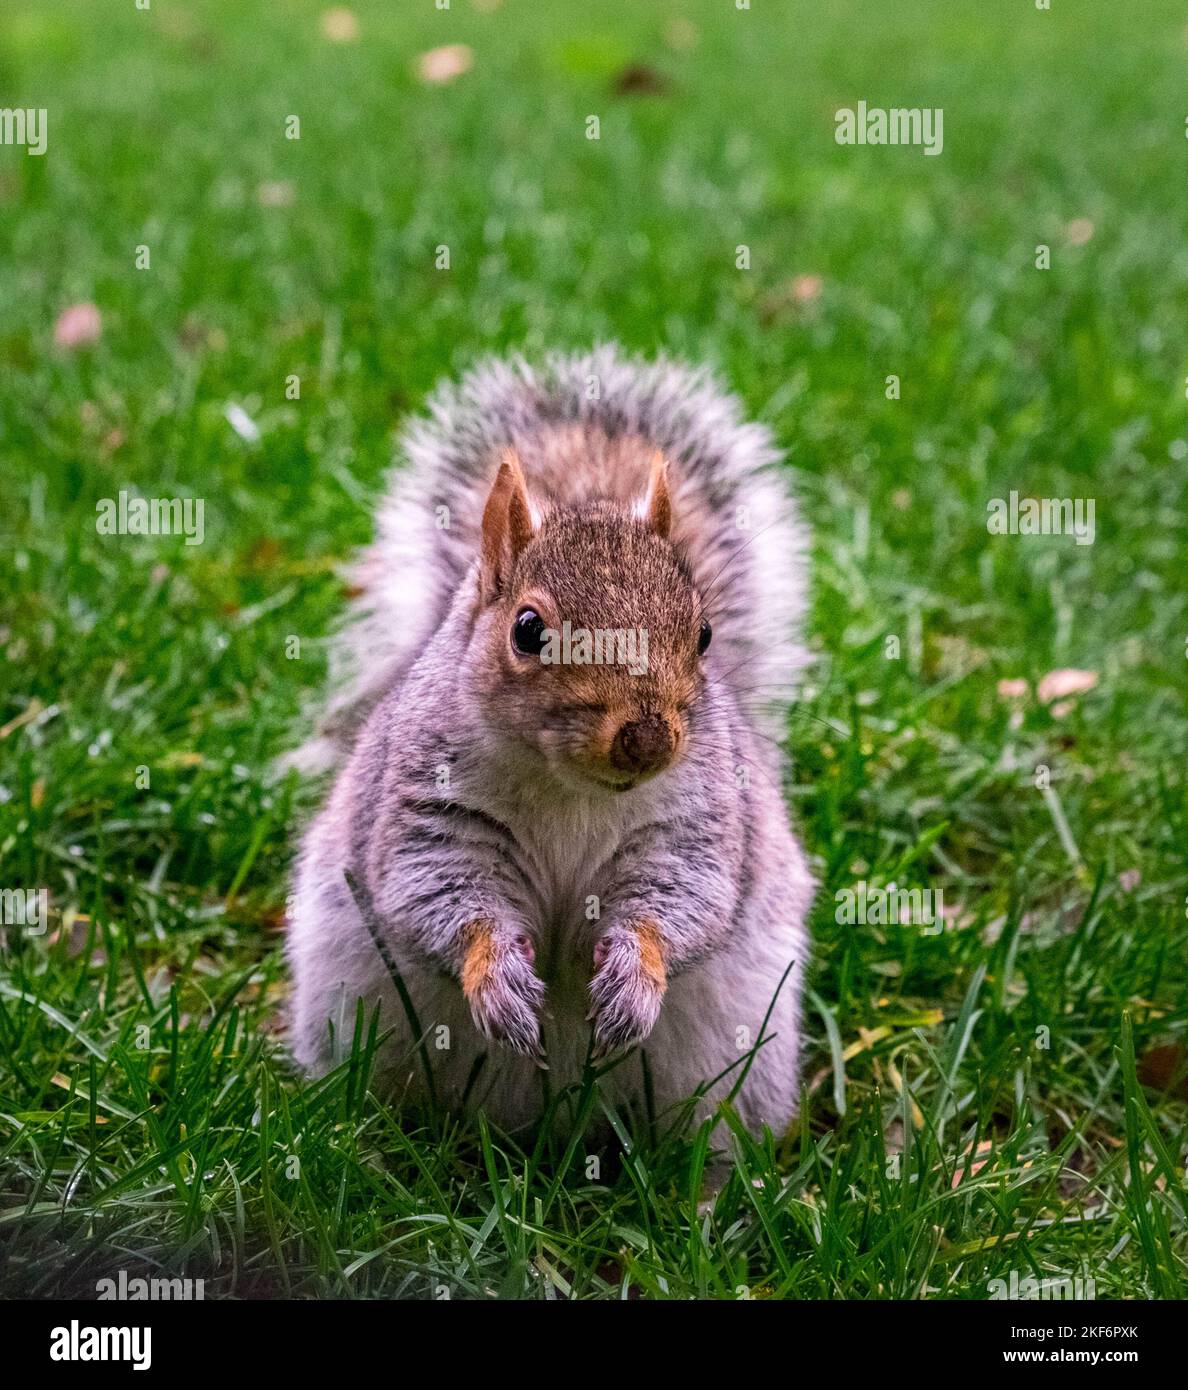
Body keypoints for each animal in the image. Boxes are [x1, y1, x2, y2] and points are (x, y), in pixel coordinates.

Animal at [285, 346, 815, 1140]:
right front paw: (498, 979)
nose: (646, 740)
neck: (571, 791)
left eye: (704, 634)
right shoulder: (427, 810)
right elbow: (440, 894)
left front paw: (634, 975)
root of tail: (554, 1122)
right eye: (528, 630)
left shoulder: (697, 822)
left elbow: (681, 900)